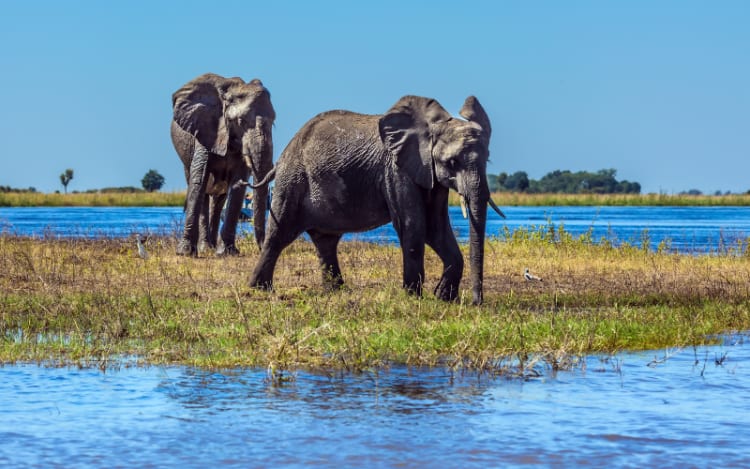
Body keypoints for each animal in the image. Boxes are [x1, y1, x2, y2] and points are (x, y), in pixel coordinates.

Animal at [170, 73, 275, 256]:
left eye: (274, 121)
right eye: (241, 121)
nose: (262, 247)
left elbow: (237, 186)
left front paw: (228, 253)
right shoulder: (205, 130)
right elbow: (199, 181)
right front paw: (185, 253)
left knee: (219, 201)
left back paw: (211, 247)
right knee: (202, 192)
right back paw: (205, 248)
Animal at [249, 95, 504, 305]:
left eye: (488, 159)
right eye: (452, 162)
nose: (477, 303)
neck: (433, 127)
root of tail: (283, 155)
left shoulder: (430, 174)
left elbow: (436, 228)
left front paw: (443, 297)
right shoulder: (395, 169)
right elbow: (413, 224)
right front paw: (413, 297)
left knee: (326, 241)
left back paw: (336, 291)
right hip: (292, 180)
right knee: (279, 234)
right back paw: (258, 290)